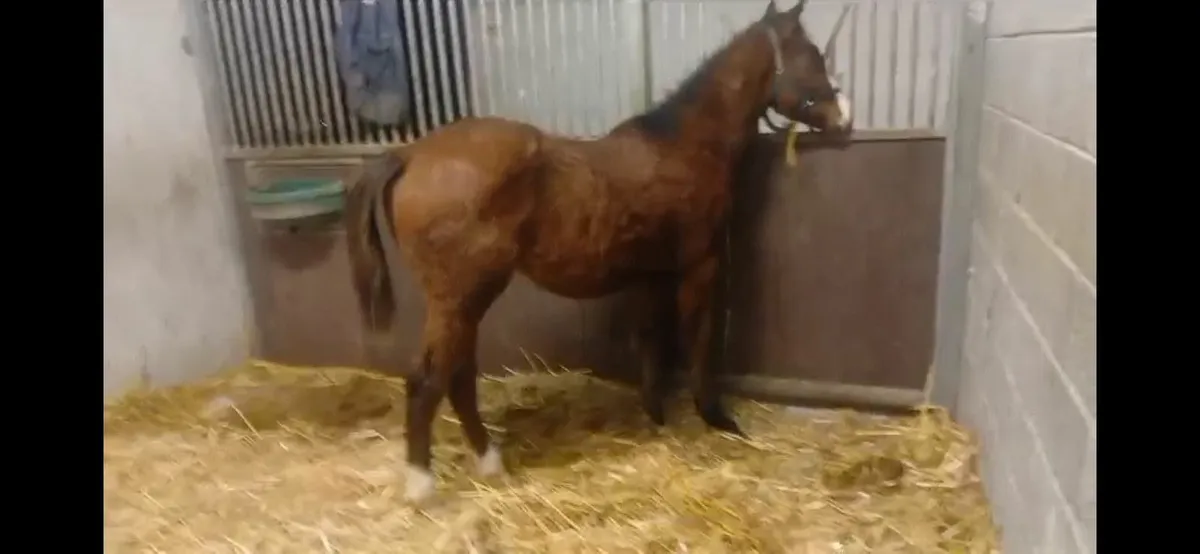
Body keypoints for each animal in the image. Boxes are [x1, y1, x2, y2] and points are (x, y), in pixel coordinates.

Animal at [345, 0, 853, 503]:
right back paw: (423, 486)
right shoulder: (699, 267)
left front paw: (656, 418)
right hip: (462, 298)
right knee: (428, 381)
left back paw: (490, 464)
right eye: (811, 56)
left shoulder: (650, 275)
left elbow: (650, 343)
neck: (686, 143)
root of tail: (411, 155)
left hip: (463, 304)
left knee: (459, 377)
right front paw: (715, 417)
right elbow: (699, 339)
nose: (844, 118)